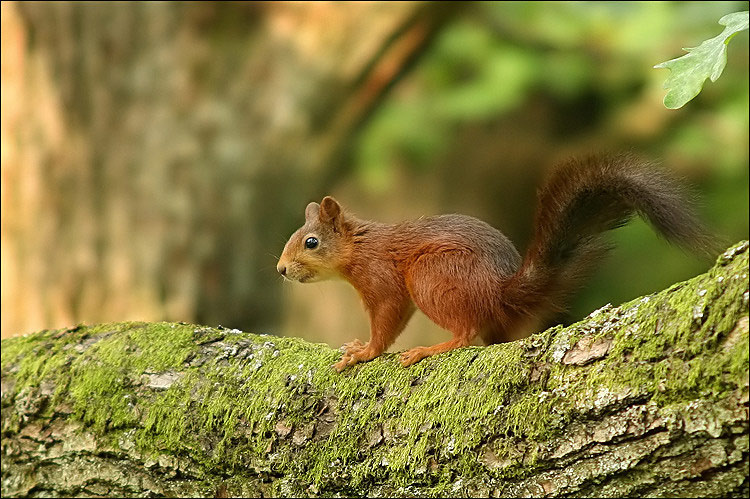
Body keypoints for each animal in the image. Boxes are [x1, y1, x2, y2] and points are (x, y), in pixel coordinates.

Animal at [277, 153, 715, 372]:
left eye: (311, 242)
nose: (281, 269)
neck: (360, 246)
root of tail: (499, 291)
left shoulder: (382, 279)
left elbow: (388, 318)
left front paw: (365, 351)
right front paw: (359, 346)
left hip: (432, 274)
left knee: (467, 333)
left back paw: (430, 349)